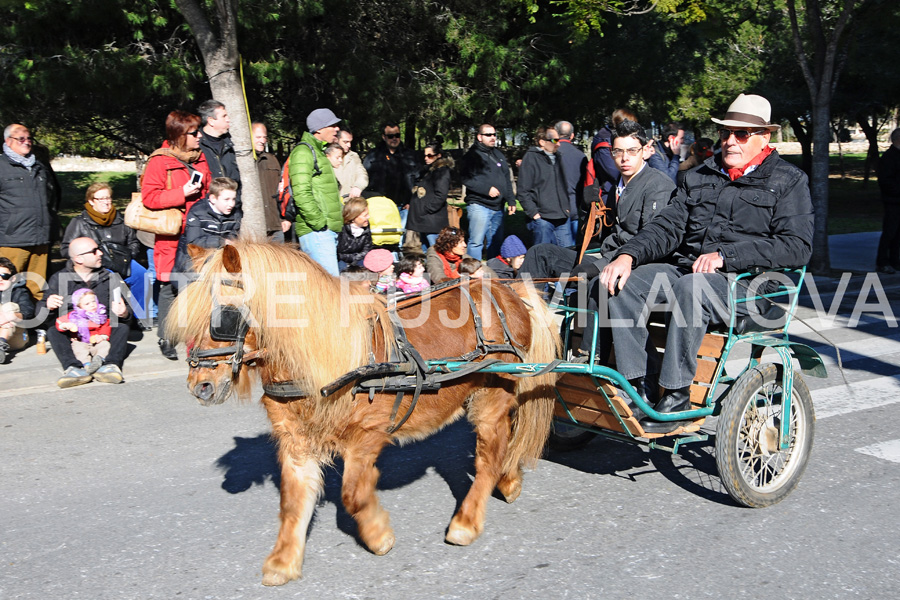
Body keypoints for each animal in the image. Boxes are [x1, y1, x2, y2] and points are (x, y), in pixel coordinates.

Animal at [168, 240, 560, 584]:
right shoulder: (296, 443)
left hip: (490, 398)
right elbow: (293, 503)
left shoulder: (366, 435)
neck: (325, 359)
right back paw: (509, 479)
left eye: (224, 316)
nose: (200, 385)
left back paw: (467, 520)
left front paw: (378, 535)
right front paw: (282, 562)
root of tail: (508, 292)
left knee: (490, 456)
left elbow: (353, 495)